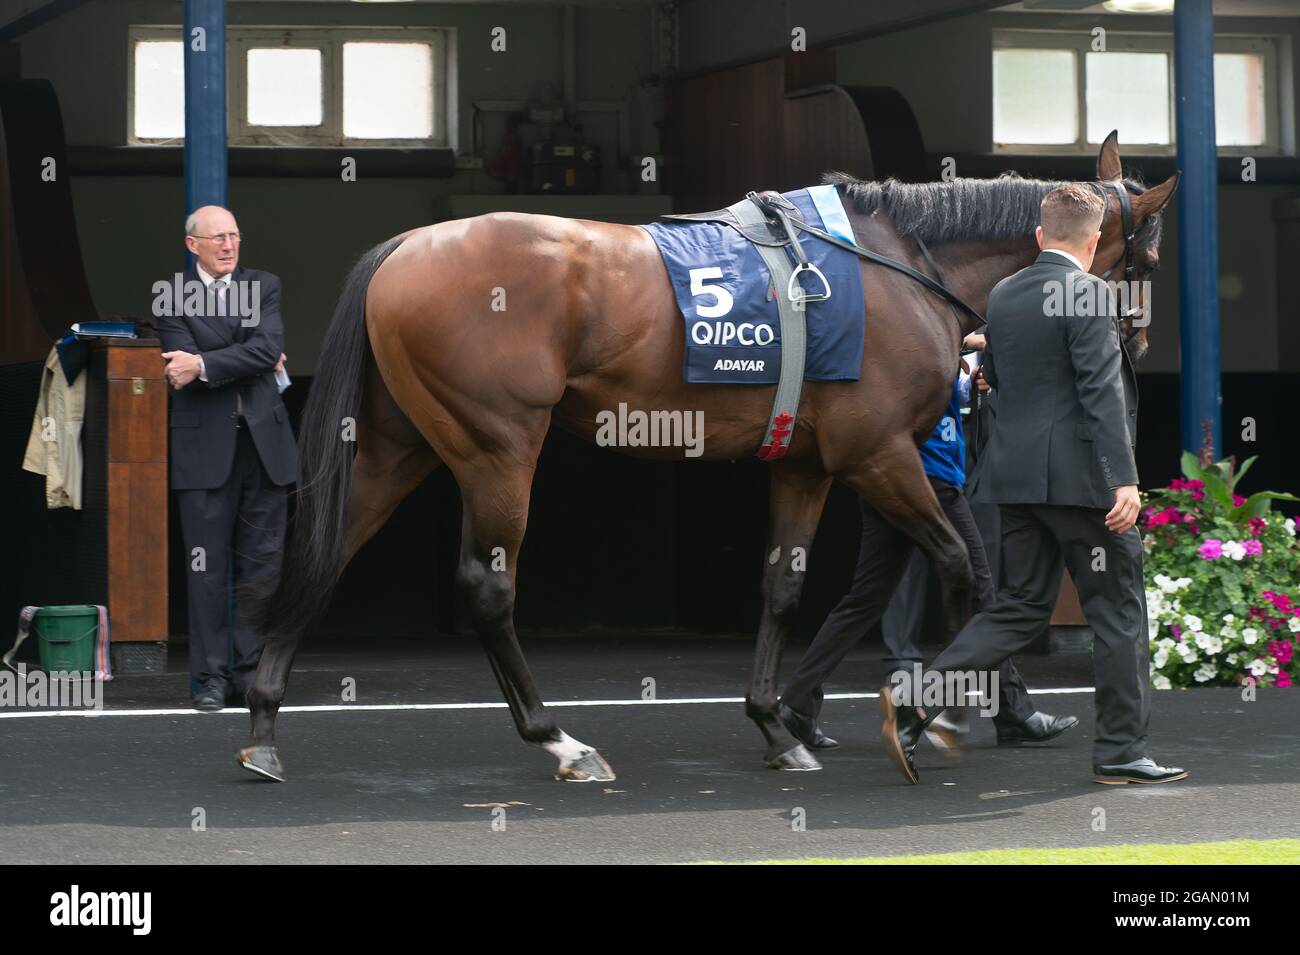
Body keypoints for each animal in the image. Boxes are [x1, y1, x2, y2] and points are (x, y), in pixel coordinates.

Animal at [237, 132, 1176, 783]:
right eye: (1153, 255)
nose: (1138, 344)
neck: (900, 262)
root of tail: (404, 248)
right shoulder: (878, 453)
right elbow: (961, 569)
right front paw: (936, 714)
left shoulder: (807, 463)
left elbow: (783, 586)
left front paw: (778, 724)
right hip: (498, 446)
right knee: (486, 586)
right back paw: (559, 740)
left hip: (399, 445)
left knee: (324, 554)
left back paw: (263, 727)